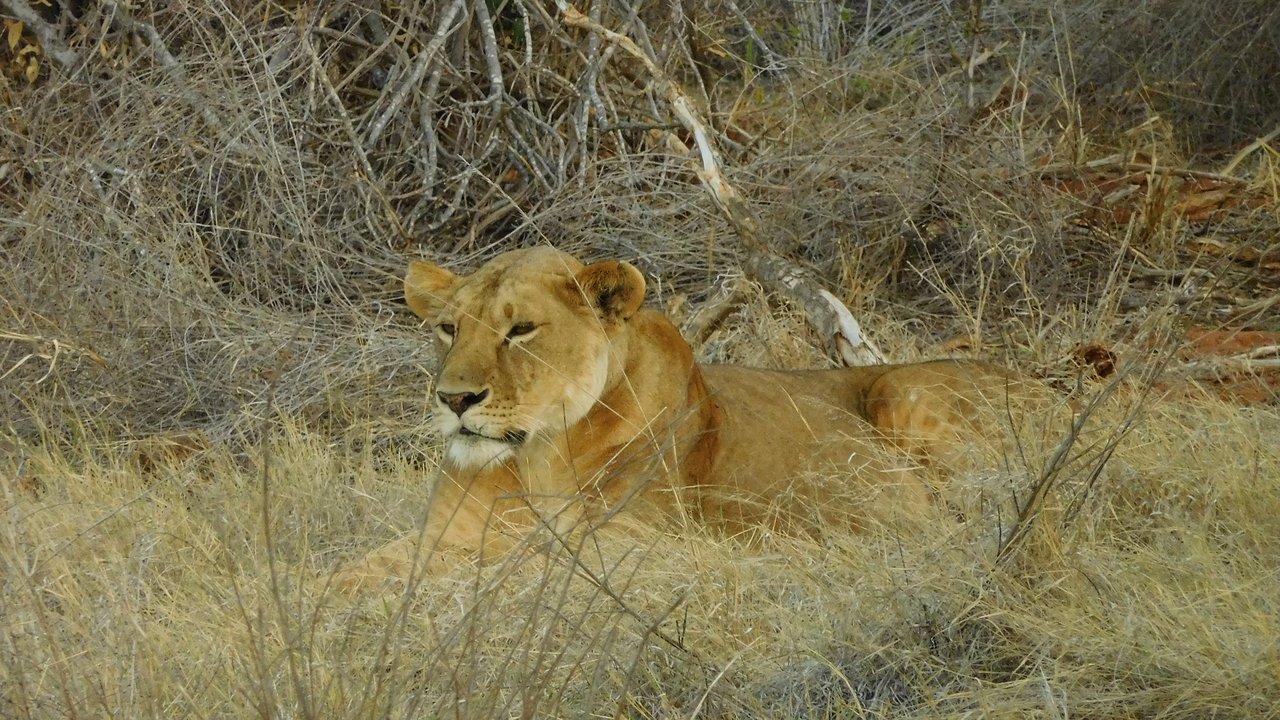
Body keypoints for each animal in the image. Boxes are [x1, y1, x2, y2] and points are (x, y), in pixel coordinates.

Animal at [332, 247, 1044, 590]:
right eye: (449, 329)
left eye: (521, 331)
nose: (453, 399)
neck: (535, 458)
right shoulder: (441, 532)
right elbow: (360, 567)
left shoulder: (637, 542)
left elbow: (505, 558)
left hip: (904, 393)